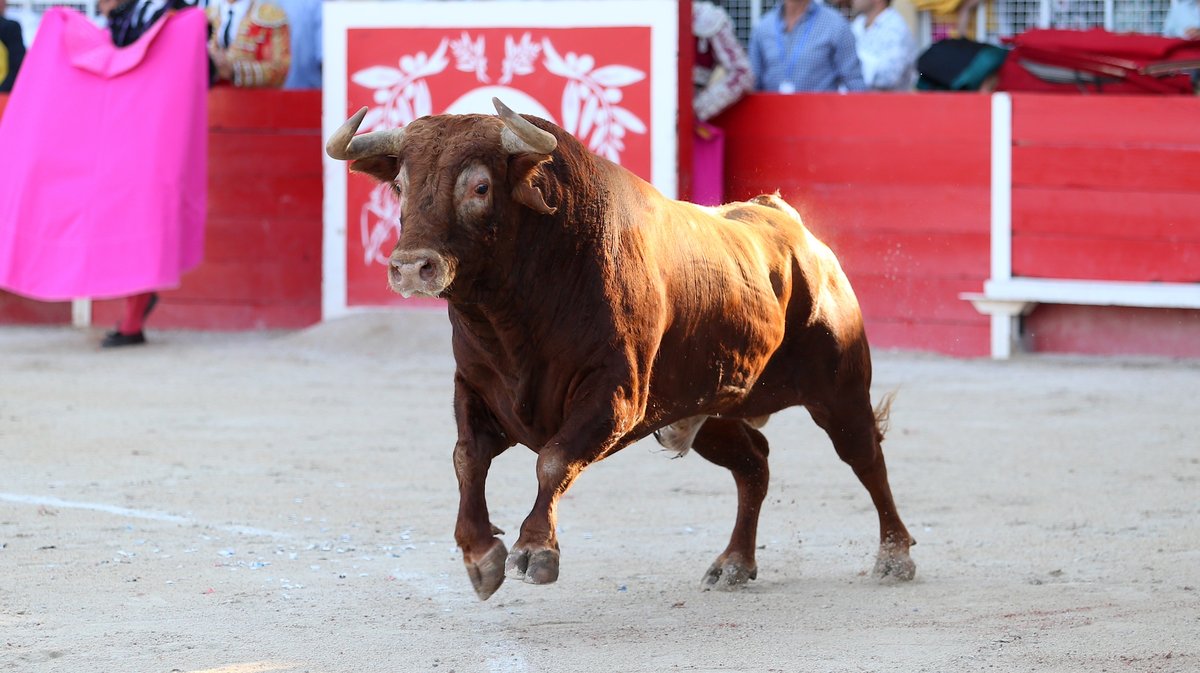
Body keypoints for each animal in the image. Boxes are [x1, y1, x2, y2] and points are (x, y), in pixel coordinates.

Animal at [324, 98, 912, 597]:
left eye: (481, 187)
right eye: (399, 185)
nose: (410, 268)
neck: (515, 316)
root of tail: (791, 225)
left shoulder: (615, 394)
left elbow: (553, 459)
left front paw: (534, 551)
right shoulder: (477, 387)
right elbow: (466, 457)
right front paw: (480, 557)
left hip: (838, 387)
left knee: (865, 456)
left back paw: (894, 556)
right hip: (705, 407)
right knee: (755, 465)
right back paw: (734, 564)